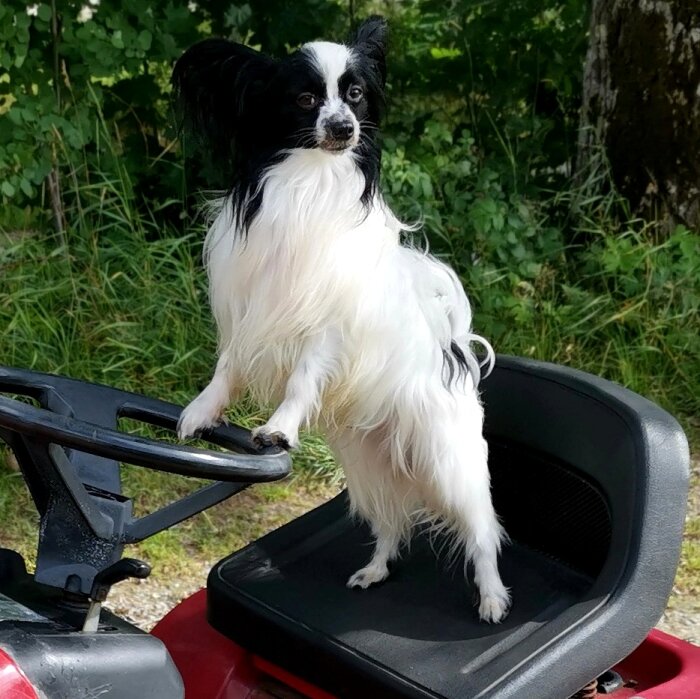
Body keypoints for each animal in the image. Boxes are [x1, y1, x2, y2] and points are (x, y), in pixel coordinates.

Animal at [172, 16, 512, 620]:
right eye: (306, 99)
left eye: (355, 95)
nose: (344, 127)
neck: (311, 184)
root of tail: (452, 347)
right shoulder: (249, 311)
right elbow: (227, 368)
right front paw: (202, 410)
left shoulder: (326, 330)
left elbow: (302, 380)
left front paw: (279, 428)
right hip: (367, 467)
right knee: (391, 522)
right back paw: (376, 570)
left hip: (450, 461)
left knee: (481, 531)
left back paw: (493, 597)